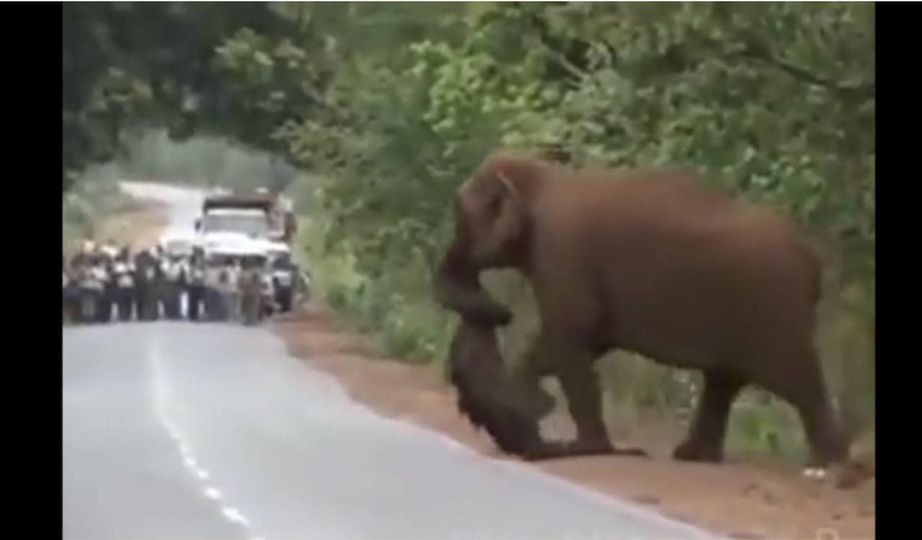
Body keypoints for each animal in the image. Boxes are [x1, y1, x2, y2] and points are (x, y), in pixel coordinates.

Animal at [434, 151, 848, 468]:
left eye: (461, 218)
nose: (499, 312)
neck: (541, 176)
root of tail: (814, 263)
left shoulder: (561, 251)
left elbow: (572, 334)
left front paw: (587, 448)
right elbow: (581, 341)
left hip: (775, 312)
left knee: (796, 380)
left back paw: (829, 467)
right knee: (723, 380)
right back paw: (693, 456)